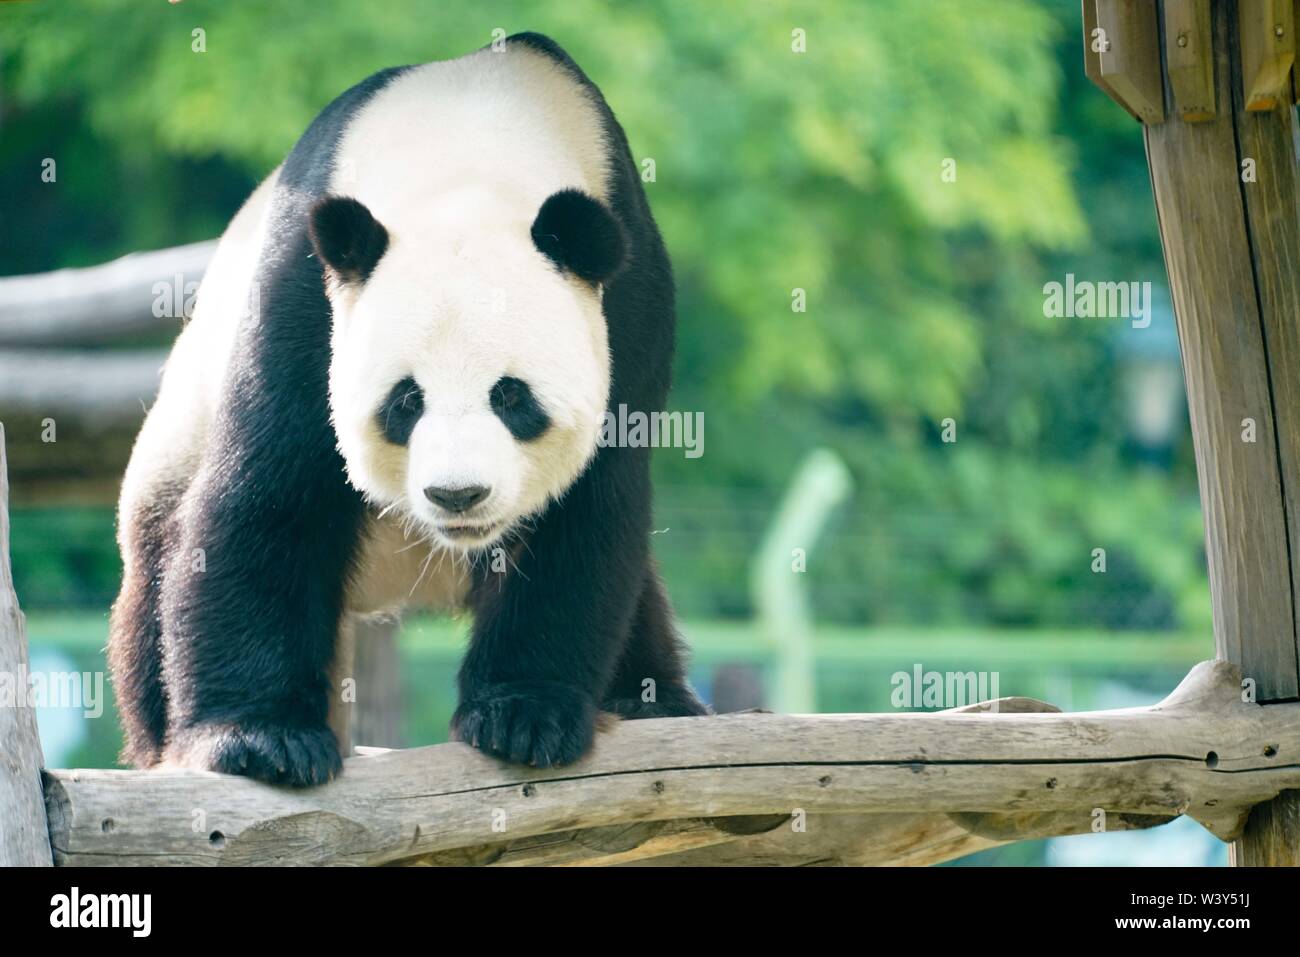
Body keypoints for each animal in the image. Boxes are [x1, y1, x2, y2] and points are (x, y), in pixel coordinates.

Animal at [110, 33, 712, 790]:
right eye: (405, 400)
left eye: (511, 396)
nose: (458, 495)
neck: (474, 144)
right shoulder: (306, 288)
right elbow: (272, 486)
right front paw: (259, 738)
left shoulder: (629, 300)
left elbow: (589, 507)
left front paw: (523, 716)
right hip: (177, 430)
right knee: (159, 562)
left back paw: (652, 699)